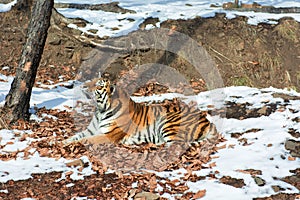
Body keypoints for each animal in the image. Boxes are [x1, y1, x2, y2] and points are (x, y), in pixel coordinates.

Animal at [63, 79, 218, 146]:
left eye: (99, 85)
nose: (83, 86)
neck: (100, 110)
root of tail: (208, 121)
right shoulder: (91, 130)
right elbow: (77, 135)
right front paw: (63, 141)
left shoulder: (109, 135)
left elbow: (87, 139)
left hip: (168, 123)